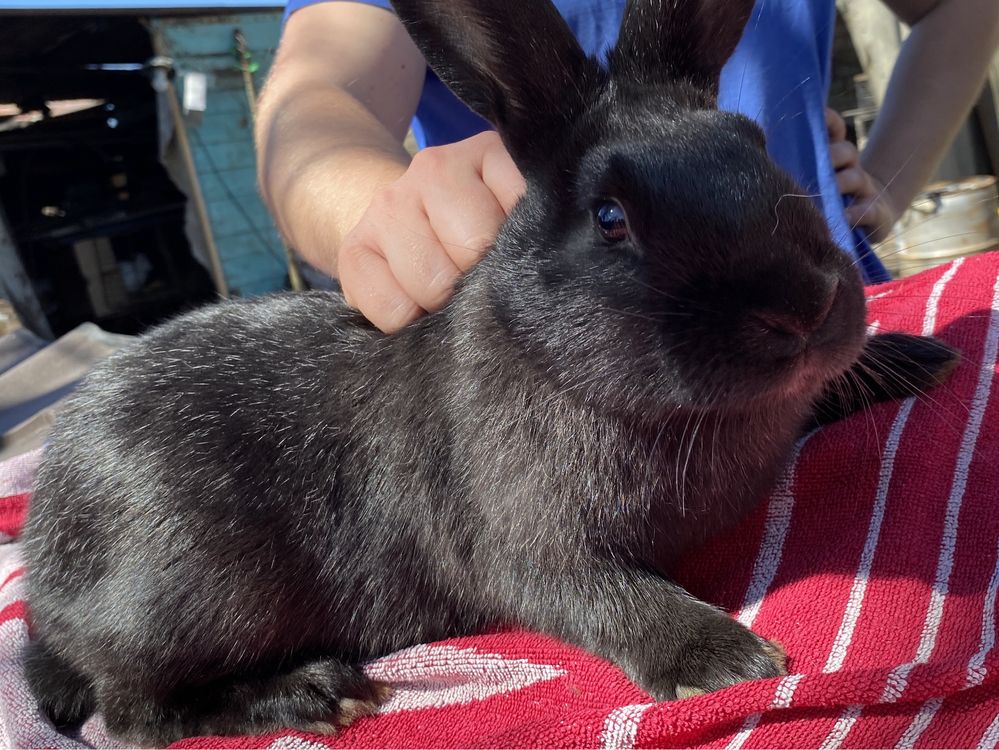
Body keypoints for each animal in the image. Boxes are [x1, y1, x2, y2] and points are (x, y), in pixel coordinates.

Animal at [21, 0, 960, 748]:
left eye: (758, 150)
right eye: (610, 218)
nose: (803, 309)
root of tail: (46, 585)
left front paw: (918, 356)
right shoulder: (529, 542)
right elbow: (604, 598)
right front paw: (727, 658)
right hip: (192, 593)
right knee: (133, 715)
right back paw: (310, 694)